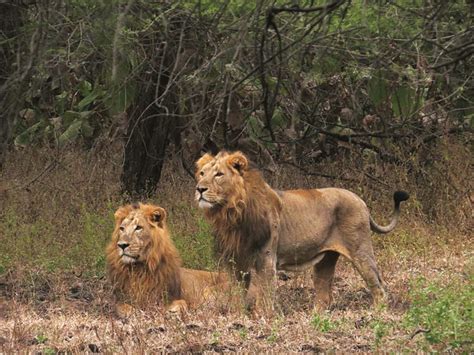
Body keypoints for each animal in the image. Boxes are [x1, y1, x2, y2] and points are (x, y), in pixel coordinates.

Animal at [194, 150, 410, 312]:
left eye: (219, 174)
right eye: (202, 174)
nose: (199, 189)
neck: (230, 212)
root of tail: (360, 200)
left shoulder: (266, 259)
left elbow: (265, 295)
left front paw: (263, 318)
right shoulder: (235, 259)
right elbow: (237, 293)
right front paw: (238, 316)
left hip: (360, 251)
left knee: (378, 286)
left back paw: (377, 313)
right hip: (326, 260)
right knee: (324, 295)